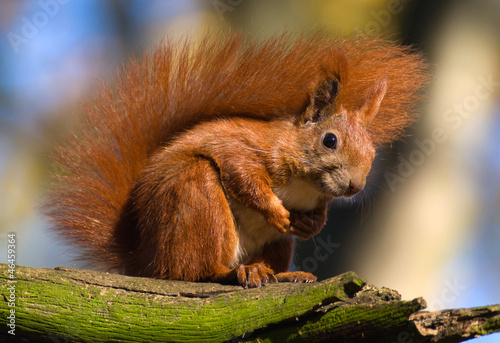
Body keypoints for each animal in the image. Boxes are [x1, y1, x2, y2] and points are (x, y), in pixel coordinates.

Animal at [46, 33, 426, 288]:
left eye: (373, 152)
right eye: (330, 140)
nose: (355, 186)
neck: (305, 184)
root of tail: (144, 260)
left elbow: (316, 214)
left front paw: (311, 225)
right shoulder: (243, 147)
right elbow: (242, 175)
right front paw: (276, 211)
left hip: (275, 243)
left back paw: (284, 274)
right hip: (195, 194)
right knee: (192, 273)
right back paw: (236, 271)